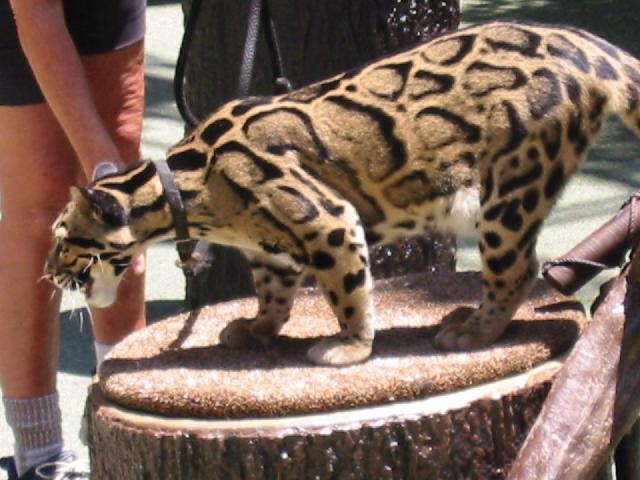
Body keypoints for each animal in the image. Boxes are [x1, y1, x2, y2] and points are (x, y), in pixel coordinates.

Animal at [46, 20, 640, 366]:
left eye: (62, 237)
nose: (48, 274)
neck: (187, 187)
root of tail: (584, 44)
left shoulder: (328, 219)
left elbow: (347, 292)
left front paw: (351, 346)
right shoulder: (272, 248)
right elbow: (273, 293)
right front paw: (259, 328)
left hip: (510, 189)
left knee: (517, 267)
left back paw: (476, 330)